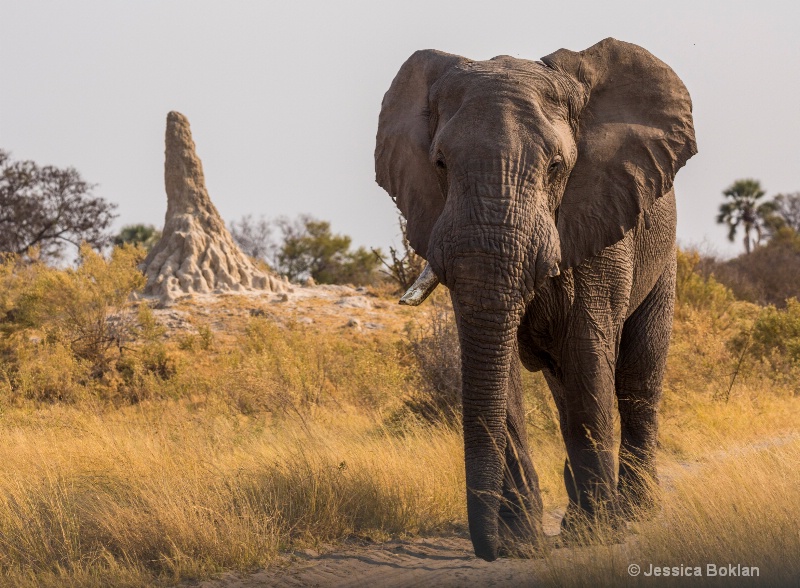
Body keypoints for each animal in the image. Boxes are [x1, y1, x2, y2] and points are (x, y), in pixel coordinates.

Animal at [376, 36, 692, 560]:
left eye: (556, 167)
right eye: (440, 164)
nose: (489, 550)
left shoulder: (600, 218)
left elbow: (587, 353)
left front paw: (599, 536)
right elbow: (496, 367)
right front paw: (522, 544)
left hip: (662, 257)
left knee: (636, 378)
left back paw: (634, 514)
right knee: (564, 389)